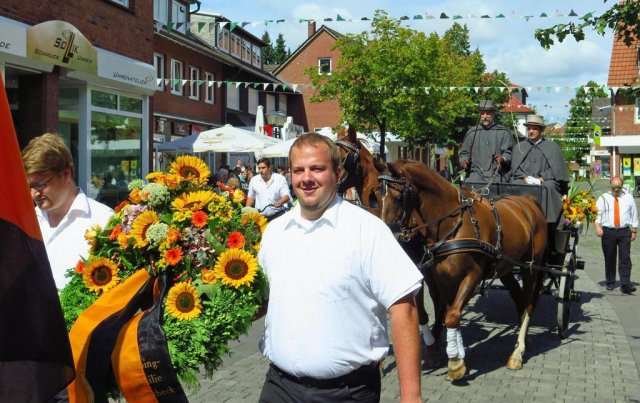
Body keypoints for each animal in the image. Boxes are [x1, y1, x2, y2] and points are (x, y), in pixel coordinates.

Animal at [378, 159, 548, 380]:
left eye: (398, 198)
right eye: (378, 196)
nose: (388, 236)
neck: (453, 223)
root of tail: (528, 202)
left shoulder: (472, 276)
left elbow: (451, 316)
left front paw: (455, 362)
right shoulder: (439, 277)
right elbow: (449, 312)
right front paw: (452, 353)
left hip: (530, 267)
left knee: (528, 305)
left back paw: (517, 353)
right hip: (507, 268)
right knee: (519, 300)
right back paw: (523, 341)